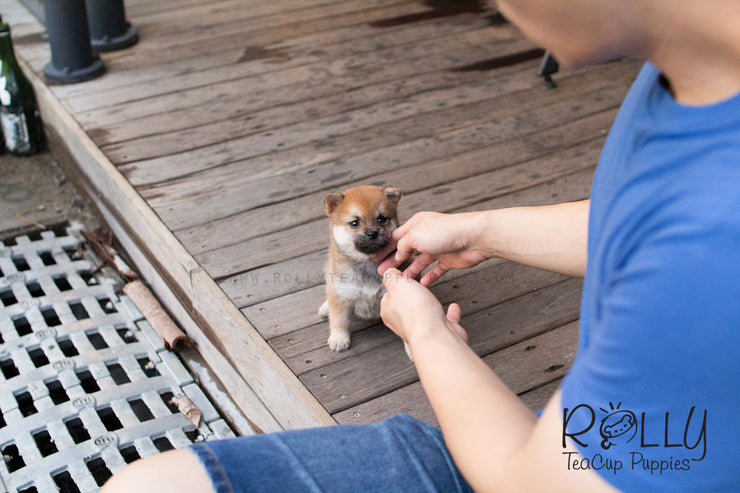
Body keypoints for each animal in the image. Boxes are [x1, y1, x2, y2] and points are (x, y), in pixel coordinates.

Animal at [316, 184, 402, 350]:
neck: (367, 262)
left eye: (382, 219)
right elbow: (339, 320)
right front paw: (339, 338)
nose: (373, 233)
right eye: (354, 223)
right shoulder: (341, 295)